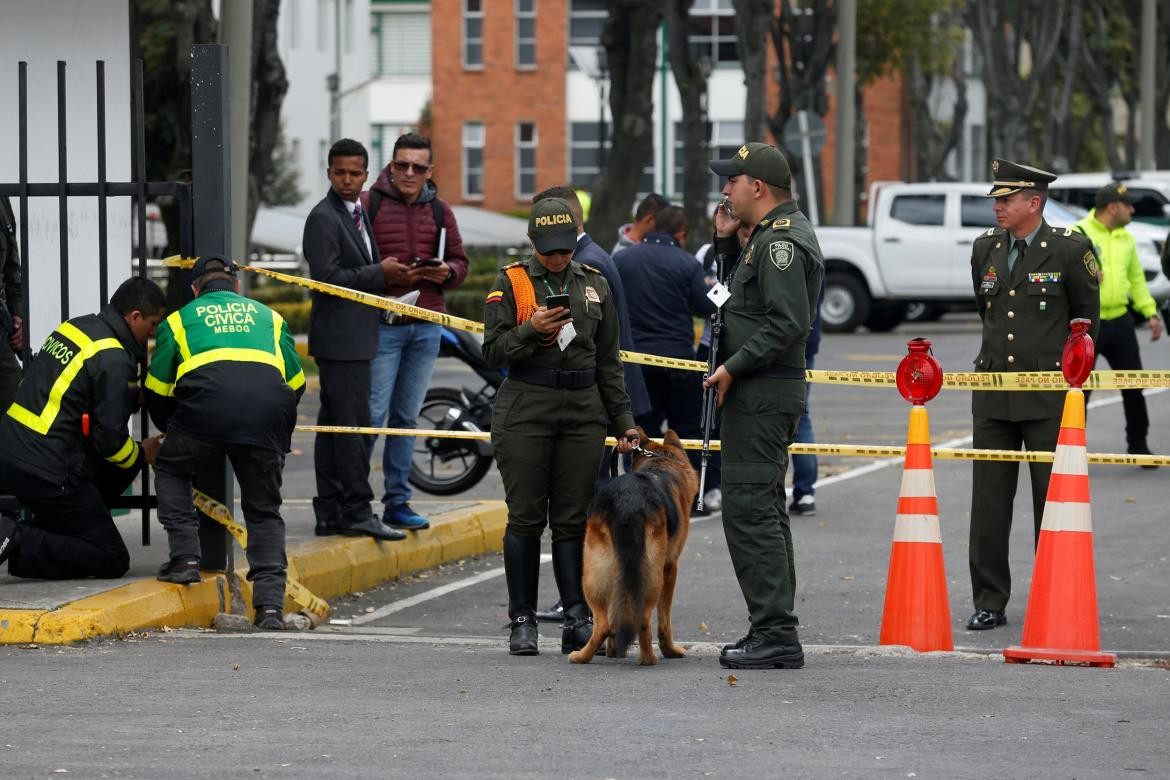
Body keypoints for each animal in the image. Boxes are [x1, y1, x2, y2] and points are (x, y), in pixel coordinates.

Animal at [566, 428, 692, 664]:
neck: (660, 462)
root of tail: (628, 501)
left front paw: (613, 649)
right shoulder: (670, 568)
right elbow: (665, 620)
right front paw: (670, 650)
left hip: (595, 572)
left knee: (605, 622)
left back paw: (585, 655)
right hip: (652, 576)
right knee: (642, 619)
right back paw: (648, 659)